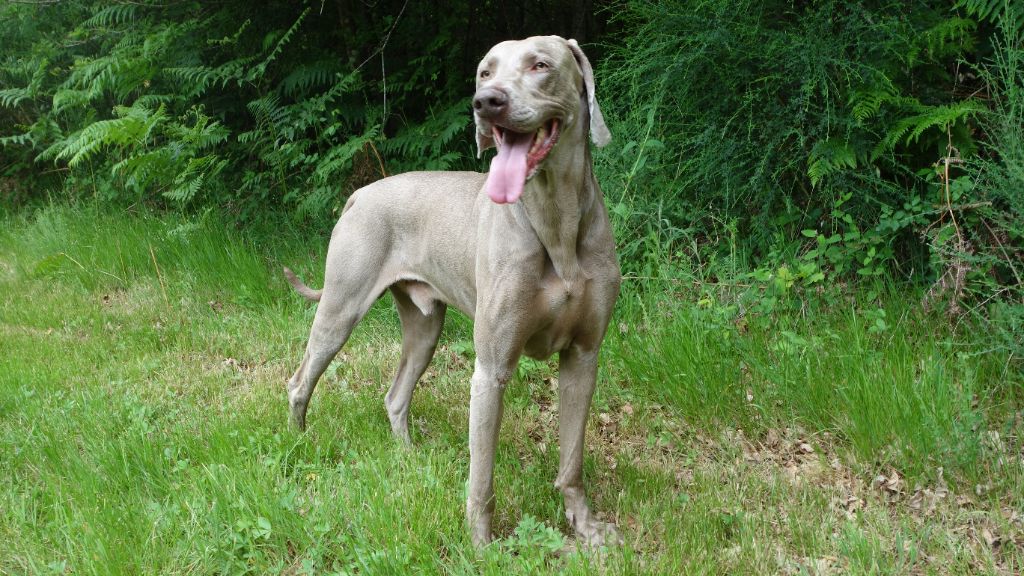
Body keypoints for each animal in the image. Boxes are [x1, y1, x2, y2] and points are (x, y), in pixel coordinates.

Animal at [288, 35, 622, 545]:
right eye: (485, 72)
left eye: (540, 65)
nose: (486, 102)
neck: (556, 222)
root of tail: (359, 194)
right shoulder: (491, 370)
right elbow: (481, 475)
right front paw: (482, 545)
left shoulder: (583, 358)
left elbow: (572, 462)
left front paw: (585, 527)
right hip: (339, 310)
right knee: (300, 380)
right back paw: (299, 441)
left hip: (425, 327)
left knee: (395, 396)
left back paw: (408, 457)